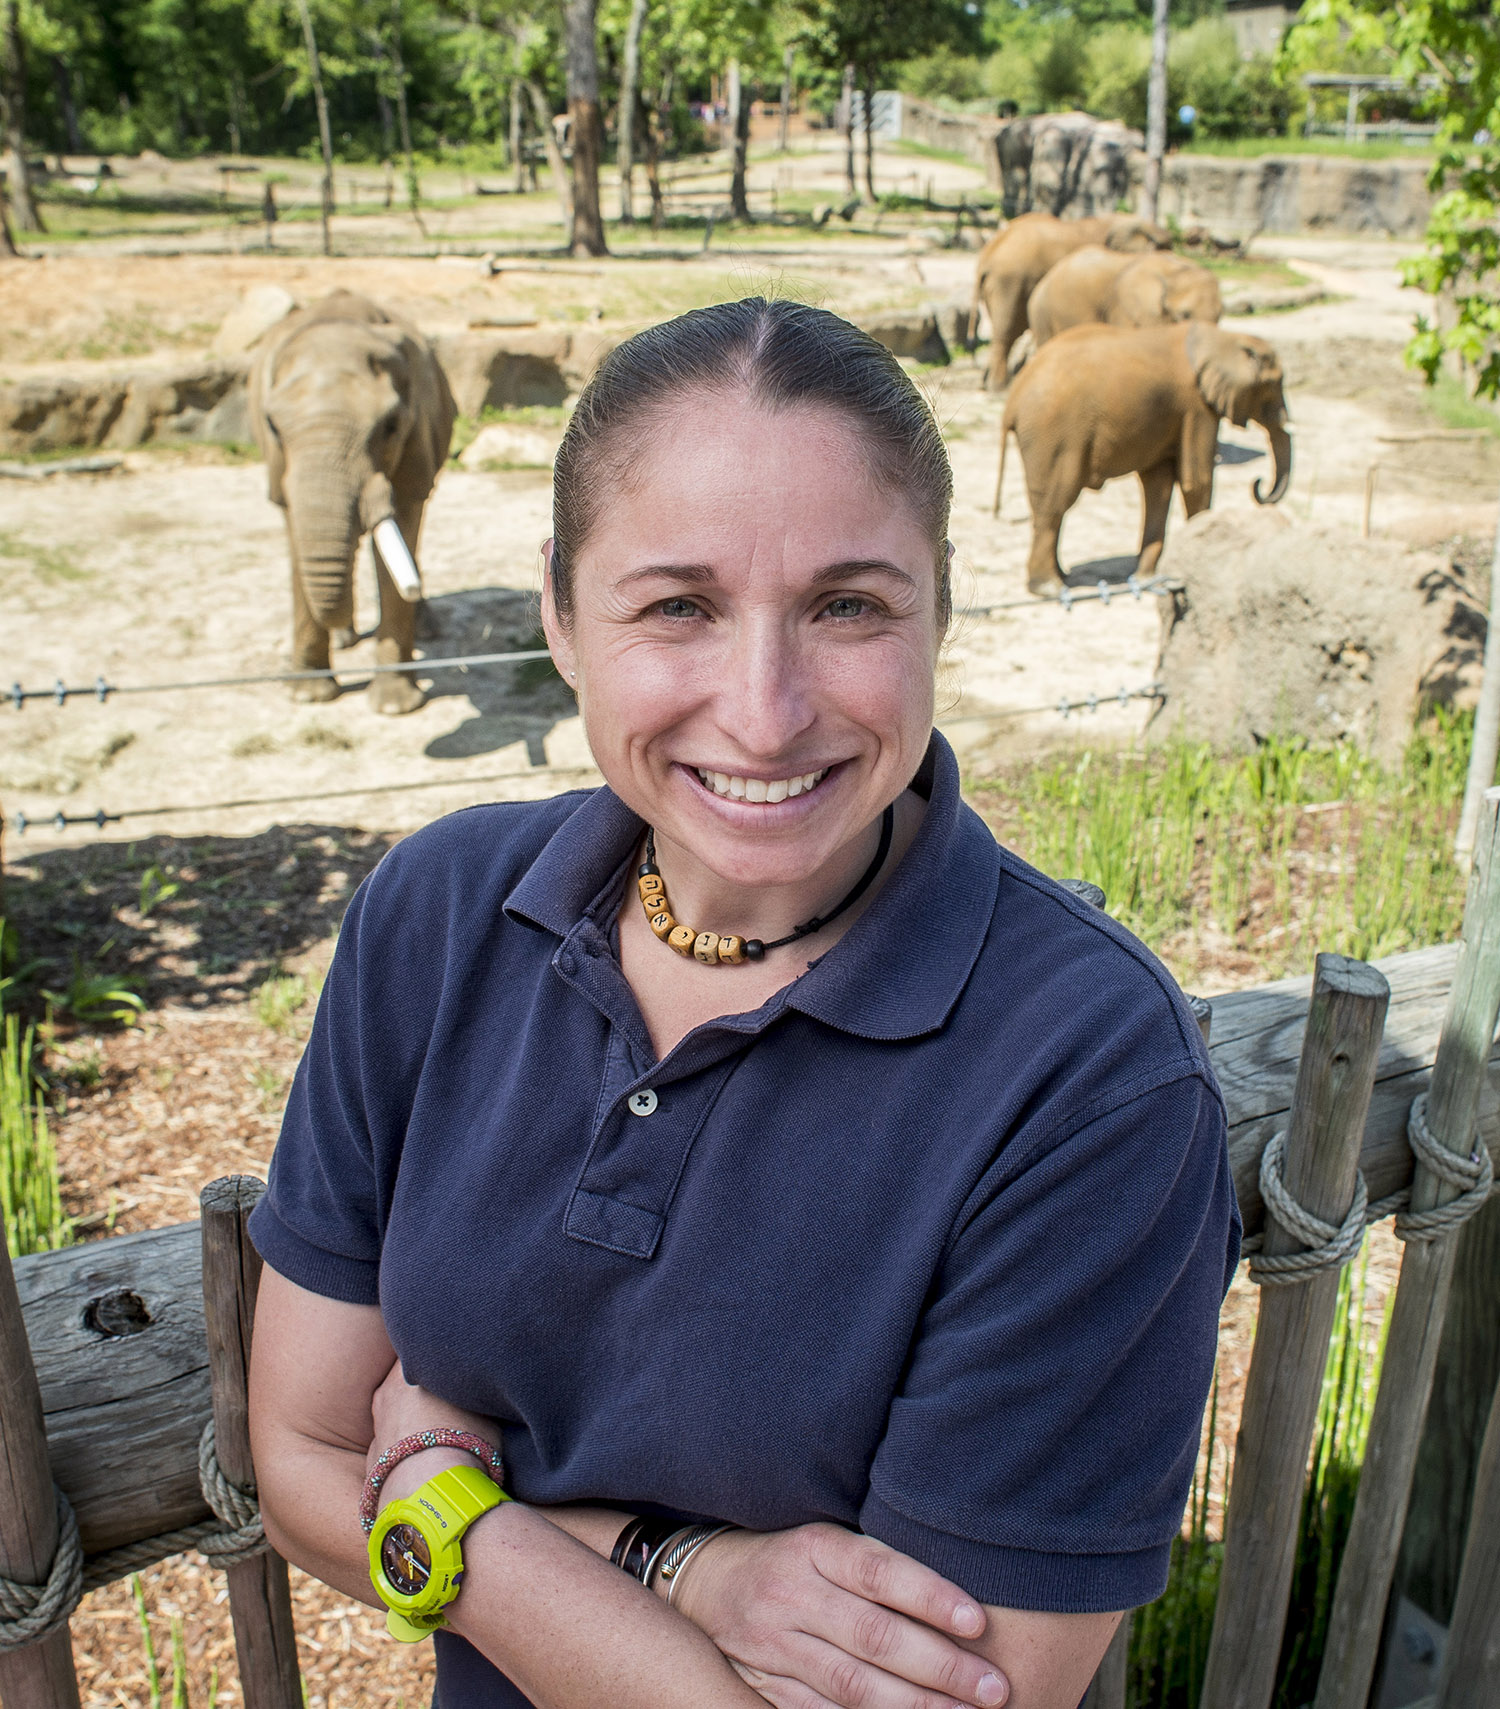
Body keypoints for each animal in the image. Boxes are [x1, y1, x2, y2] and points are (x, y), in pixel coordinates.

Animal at [251, 290, 457, 710]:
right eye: (273, 427)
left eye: (391, 426)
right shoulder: (281, 469)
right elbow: (296, 536)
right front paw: (308, 697)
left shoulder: (418, 439)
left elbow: (404, 521)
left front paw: (394, 707)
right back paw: (345, 639)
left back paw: (426, 629)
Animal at [997, 323, 1291, 598]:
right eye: (1274, 384)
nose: (1258, 483)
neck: (1225, 337)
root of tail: (1012, 400)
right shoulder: (1196, 407)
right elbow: (1196, 481)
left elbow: (1158, 486)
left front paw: (1147, 578)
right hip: (1056, 434)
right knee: (1055, 503)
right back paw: (1050, 588)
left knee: (1049, 506)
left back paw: (1063, 575)